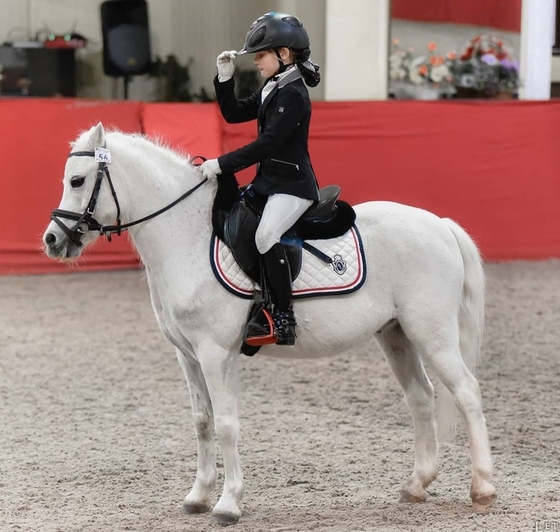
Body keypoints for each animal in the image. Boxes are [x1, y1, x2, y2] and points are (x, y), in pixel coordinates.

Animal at [42, 123, 494, 524]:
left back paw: (483, 489)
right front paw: (197, 497)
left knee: (468, 393)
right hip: (397, 334)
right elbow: (202, 422)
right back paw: (416, 485)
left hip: (433, 334)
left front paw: (228, 505)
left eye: (78, 180)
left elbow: (226, 425)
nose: (52, 240)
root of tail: (440, 225)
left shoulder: (215, 353)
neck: (186, 237)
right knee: (421, 397)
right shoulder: (187, 355)